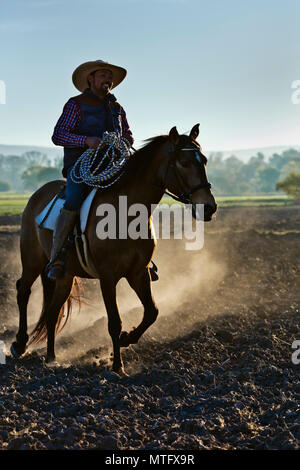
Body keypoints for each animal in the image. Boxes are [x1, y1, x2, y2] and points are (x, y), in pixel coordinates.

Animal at [11, 125, 216, 374]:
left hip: (64, 276)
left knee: (52, 312)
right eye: (184, 162)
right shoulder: (107, 277)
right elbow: (114, 322)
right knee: (23, 291)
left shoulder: (138, 273)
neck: (126, 212)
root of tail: (37, 195)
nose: (209, 207)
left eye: (203, 160)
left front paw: (128, 338)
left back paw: (51, 358)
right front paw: (118, 366)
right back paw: (19, 344)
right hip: (32, 260)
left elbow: (152, 312)